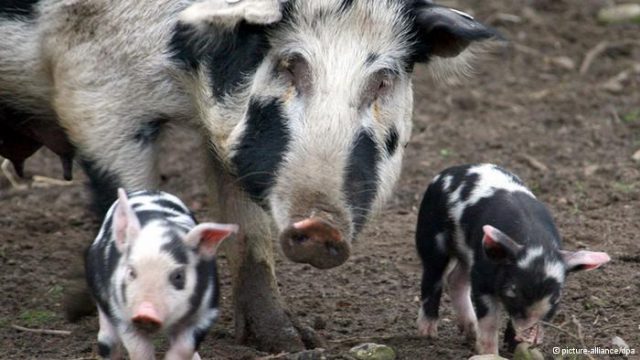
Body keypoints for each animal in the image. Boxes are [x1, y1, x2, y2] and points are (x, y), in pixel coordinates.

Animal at [84, 190, 236, 358]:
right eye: (131, 272)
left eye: (178, 276)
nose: (145, 313)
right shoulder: (121, 314)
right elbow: (139, 350)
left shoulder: (207, 312)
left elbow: (186, 347)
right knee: (107, 340)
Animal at [416, 165, 608, 354]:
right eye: (512, 293)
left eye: (555, 300)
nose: (529, 338)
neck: (536, 243)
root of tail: (446, 172)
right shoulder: (482, 278)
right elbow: (490, 322)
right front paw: (490, 354)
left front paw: (514, 347)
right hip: (431, 235)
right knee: (432, 278)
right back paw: (428, 333)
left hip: (467, 254)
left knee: (455, 279)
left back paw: (471, 331)